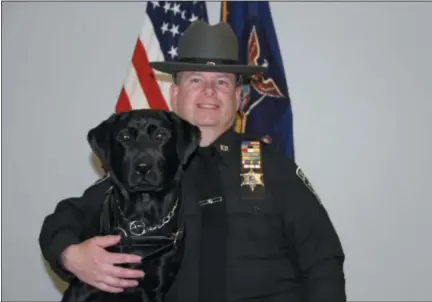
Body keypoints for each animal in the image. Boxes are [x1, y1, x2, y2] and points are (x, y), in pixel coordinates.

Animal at [60, 108, 201, 302]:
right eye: (125, 136)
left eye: (160, 135)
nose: (143, 167)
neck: (142, 222)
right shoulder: (83, 285)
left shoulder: (154, 289)